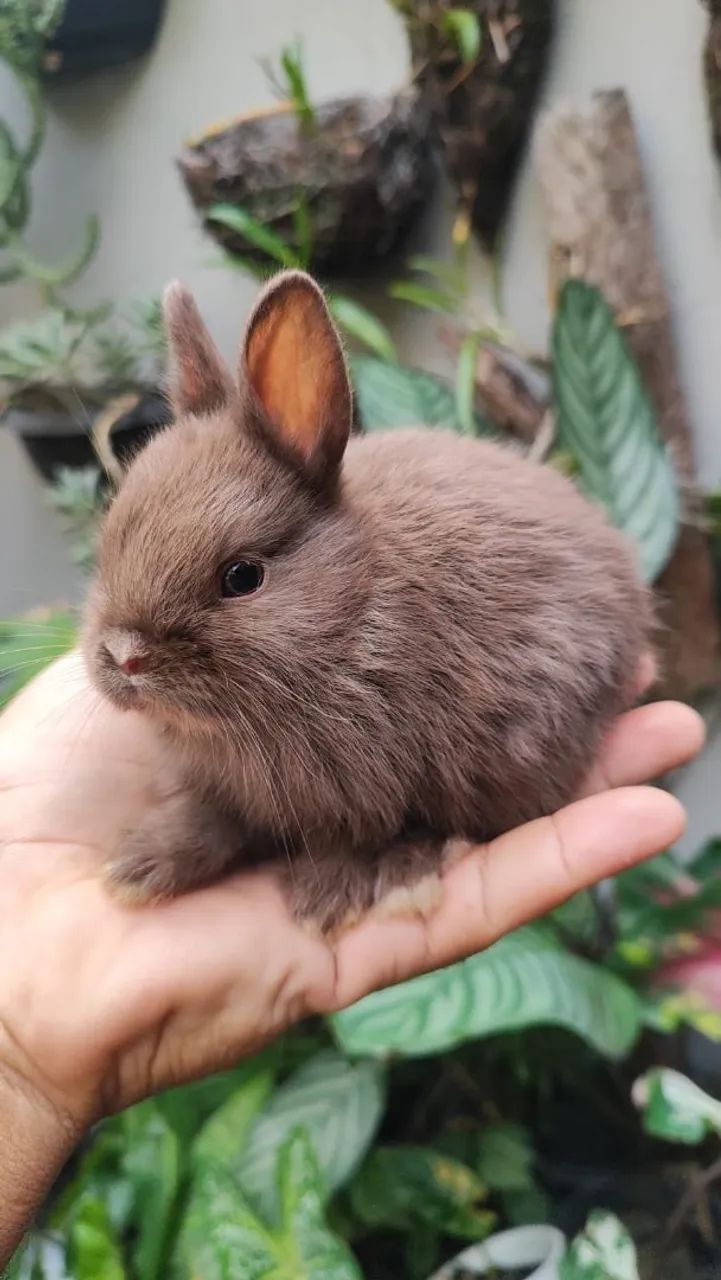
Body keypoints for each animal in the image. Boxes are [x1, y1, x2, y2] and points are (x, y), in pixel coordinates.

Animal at [83, 269, 653, 933]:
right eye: (110, 541)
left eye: (242, 577)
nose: (126, 656)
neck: (352, 618)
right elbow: (213, 821)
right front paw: (138, 868)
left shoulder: (364, 792)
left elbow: (354, 839)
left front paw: (324, 900)